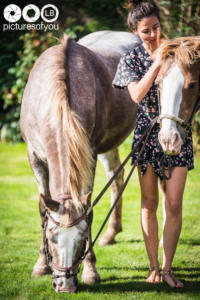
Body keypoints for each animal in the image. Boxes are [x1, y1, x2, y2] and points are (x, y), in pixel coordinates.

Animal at [19, 31, 139, 292]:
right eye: (51, 237)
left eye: (83, 238)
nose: (65, 284)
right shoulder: (35, 158)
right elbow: (42, 209)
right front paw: (41, 264)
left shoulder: (89, 155)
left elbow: (89, 209)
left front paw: (91, 270)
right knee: (116, 177)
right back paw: (111, 233)